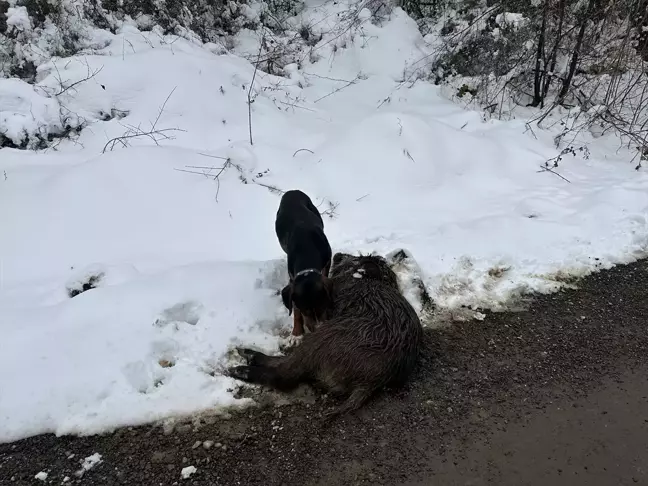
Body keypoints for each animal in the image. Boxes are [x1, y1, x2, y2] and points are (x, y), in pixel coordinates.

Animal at [274, 190, 332, 338]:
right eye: (305, 310)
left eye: (323, 306)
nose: (319, 329)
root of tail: (293, 191)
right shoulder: (292, 278)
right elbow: (294, 309)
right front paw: (297, 332)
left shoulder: (327, 262)